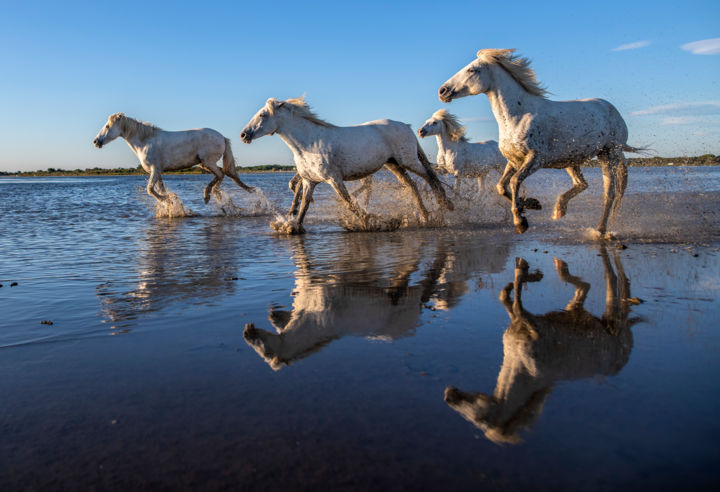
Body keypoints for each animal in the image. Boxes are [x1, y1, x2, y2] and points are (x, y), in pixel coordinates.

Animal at [93, 112, 256, 203]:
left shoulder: (155, 170)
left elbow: (150, 190)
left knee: (221, 174)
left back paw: (207, 195)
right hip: (204, 164)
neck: (145, 142)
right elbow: (159, 189)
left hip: (208, 162)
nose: (96, 142)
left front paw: (167, 199)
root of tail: (222, 137)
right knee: (223, 174)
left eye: (107, 126)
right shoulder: (157, 172)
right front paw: (169, 202)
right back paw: (212, 194)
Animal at [242, 98, 456, 234]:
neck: (308, 144)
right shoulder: (310, 181)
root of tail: (406, 126)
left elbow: (349, 203)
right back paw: (425, 216)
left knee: (429, 177)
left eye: (262, 115)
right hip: (394, 165)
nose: (244, 135)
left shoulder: (334, 179)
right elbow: (303, 205)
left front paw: (372, 222)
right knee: (412, 186)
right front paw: (292, 227)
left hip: (408, 161)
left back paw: (444, 206)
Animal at [436, 49, 640, 237]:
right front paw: (530, 204)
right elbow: (501, 187)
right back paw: (559, 210)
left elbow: (515, 181)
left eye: (472, 69)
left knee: (610, 193)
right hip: (571, 160)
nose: (442, 91)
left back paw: (601, 230)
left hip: (609, 154)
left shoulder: (535, 159)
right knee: (582, 184)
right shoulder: (513, 160)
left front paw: (520, 221)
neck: (518, 116)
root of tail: (612, 109)